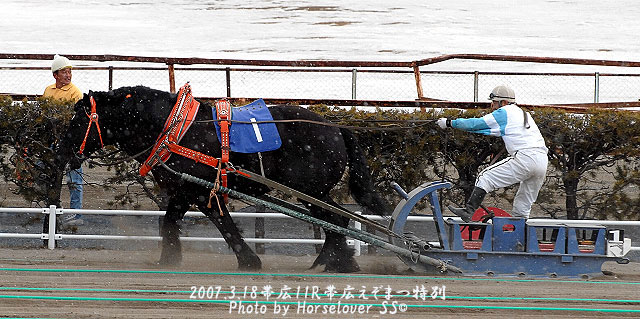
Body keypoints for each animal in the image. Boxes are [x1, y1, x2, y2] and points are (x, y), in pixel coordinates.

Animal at [51, 86, 390, 274]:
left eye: (78, 119)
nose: (61, 149)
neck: (175, 130)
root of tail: (337, 129)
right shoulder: (188, 191)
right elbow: (177, 222)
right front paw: (170, 258)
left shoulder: (198, 190)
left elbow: (219, 222)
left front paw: (248, 259)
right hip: (313, 191)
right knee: (336, 219)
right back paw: (336, 260)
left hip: (311, 189)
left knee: (333, 218)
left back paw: (335, 260)